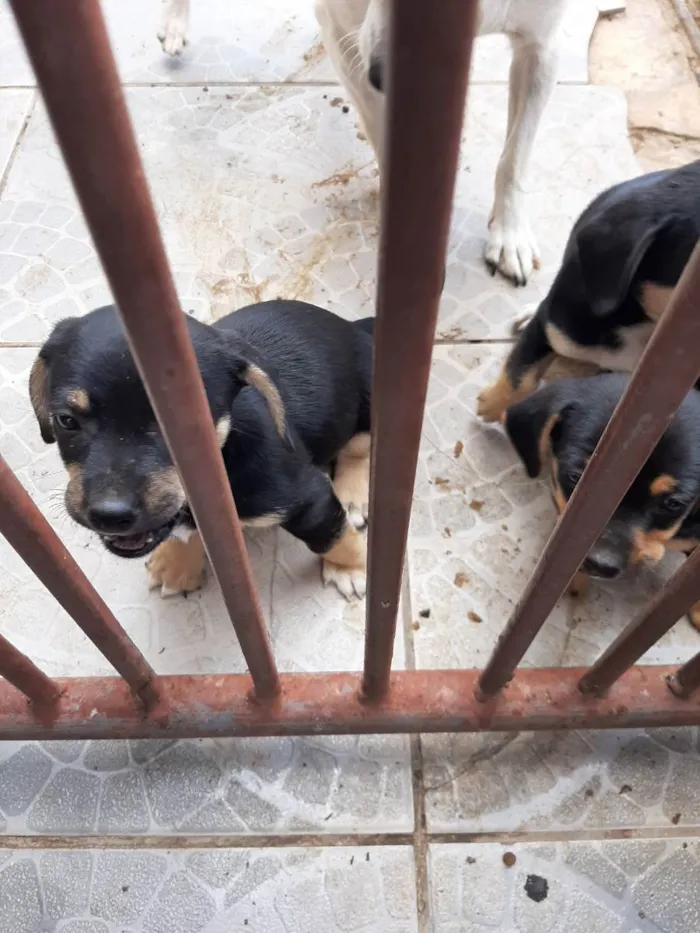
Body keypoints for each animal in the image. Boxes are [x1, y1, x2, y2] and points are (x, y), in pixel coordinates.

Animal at [28, 302, 372, 600]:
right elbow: (183, 529)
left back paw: (354, 495)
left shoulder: (309, 498)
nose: (108, 515)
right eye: (66, 420)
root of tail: (351, 326)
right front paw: (177, 562)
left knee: (359, 447)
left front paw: (350, 569)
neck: (223, 455)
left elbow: (333, 537)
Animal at [157, 0, 568, 284]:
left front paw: (510, 235)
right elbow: (383, 135)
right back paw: (173, 23)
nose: (395, 76)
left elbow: (514, 159)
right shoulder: (344, 36)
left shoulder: (541, 49)